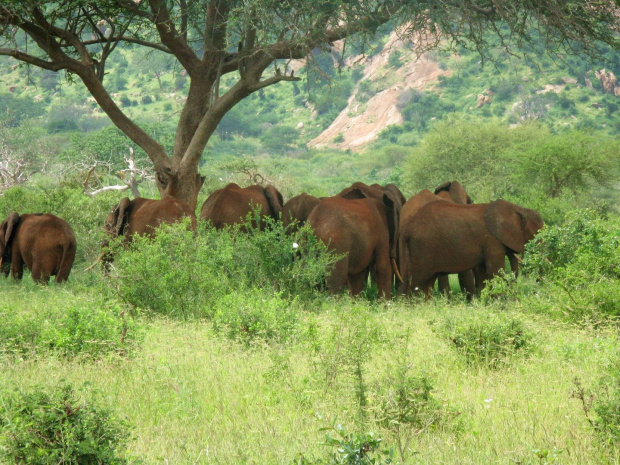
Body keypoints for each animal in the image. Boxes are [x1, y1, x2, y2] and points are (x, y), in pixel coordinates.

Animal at [402, 199, 544, 298]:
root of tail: (408, 227)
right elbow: (495, 271)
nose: (536, 289)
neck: (518, 209)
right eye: (537, 233)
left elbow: (483, 273)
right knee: (417, 280)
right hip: (421, 249)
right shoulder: (491, 240)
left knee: (428, 282)